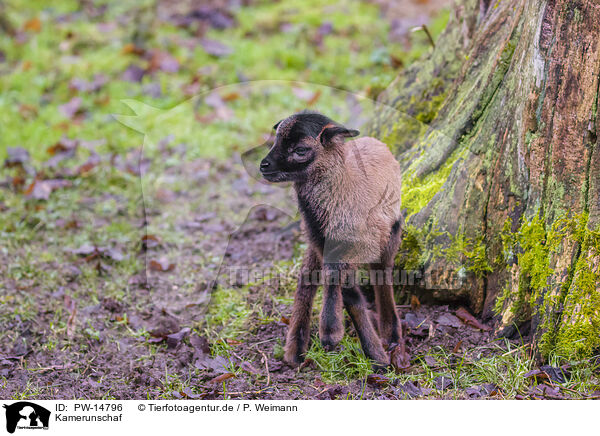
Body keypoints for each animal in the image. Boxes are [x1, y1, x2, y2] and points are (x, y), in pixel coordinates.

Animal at [260, 110, 406, 366]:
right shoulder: (319, 240)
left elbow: (344, 283)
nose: (263, 165)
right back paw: (295, 350)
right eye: (276, 140)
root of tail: (378, 143)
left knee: (383, 274)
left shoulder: (363, 243)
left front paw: (334, 334)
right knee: (308, 280)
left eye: (300, 150)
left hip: (390, 232)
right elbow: (337, 287)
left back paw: (391, 334)